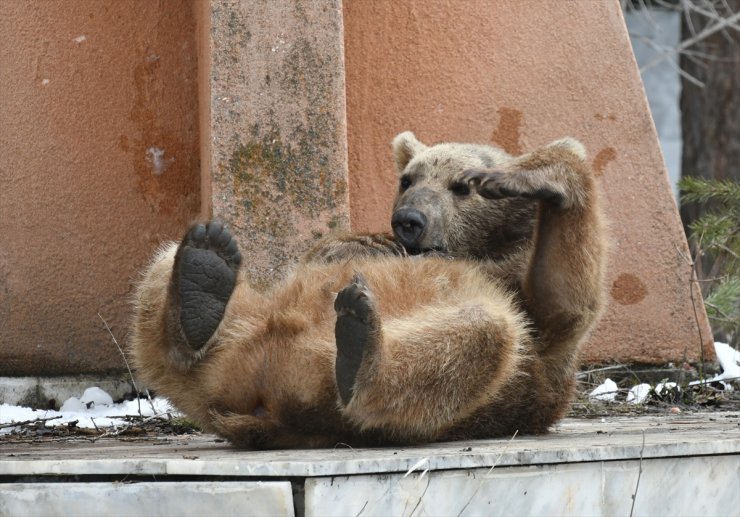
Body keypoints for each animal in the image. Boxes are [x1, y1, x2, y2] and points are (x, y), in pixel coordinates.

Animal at [129, 130, 608, 448]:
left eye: (462, 186)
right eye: (408, 179)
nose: (409, 220)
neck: (476, 249)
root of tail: (266, 402)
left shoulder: (533, 327)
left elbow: (564, 297)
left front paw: (530, 175)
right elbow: (335, 250)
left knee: (481, 333)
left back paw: (360, 347)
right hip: (237, 331)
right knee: (161, 272)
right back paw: (201, 278)